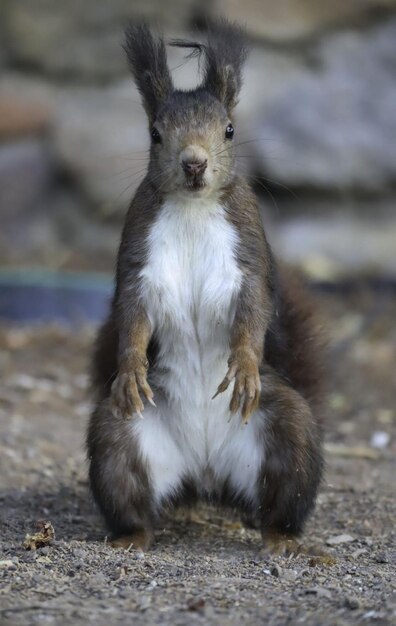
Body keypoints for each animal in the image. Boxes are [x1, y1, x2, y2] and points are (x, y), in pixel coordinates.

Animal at [86, 20, 324, 552]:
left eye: (229, 129)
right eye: (155, 134)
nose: (193, 163)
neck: (194, 208)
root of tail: (206, 471)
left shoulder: (248, 254)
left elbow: (253, 310)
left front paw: (245, 364)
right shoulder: (139, 261)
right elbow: (132, 314)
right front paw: (130, 367)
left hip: (288, 434)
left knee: (284, 492)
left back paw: (283, 539)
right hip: (117, 438)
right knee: (128, 489)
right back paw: (131, 537)